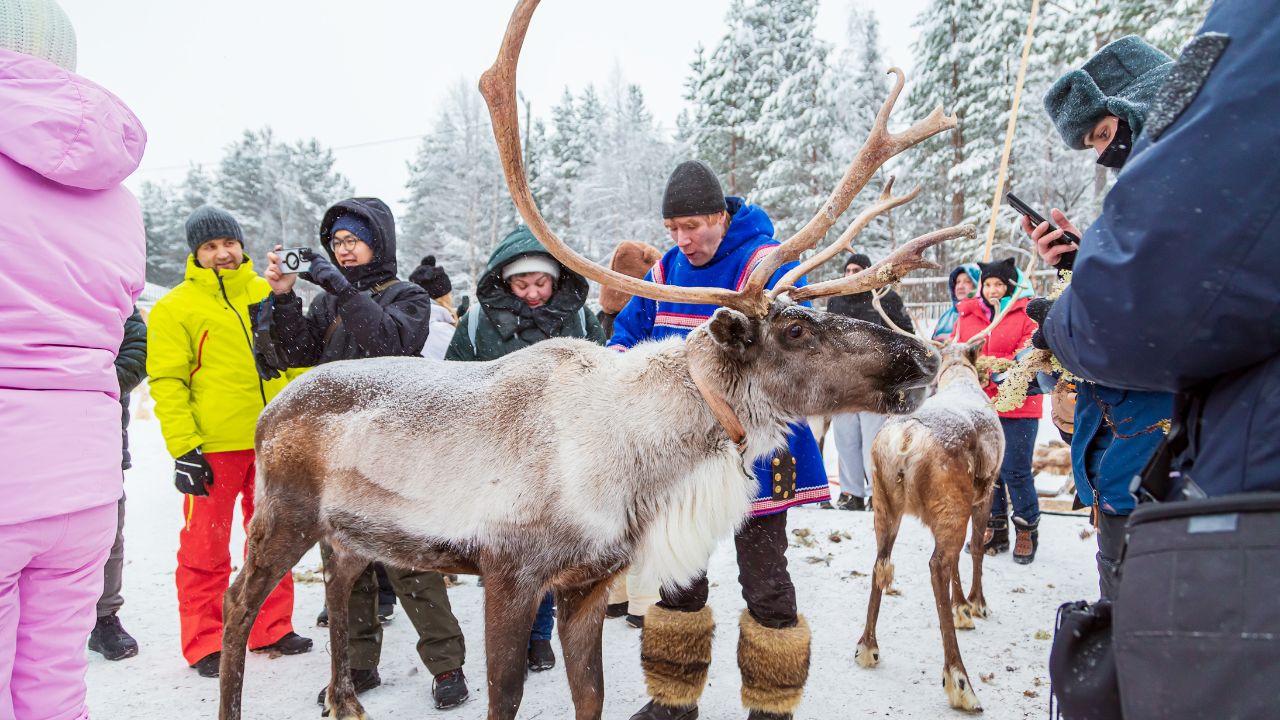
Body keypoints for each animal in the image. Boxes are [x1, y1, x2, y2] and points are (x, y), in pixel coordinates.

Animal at [216, 2, 973, 719]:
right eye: (792, 330)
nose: (920, 355)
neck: (636, 462)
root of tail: (271, 408)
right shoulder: (509, 573)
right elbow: (505, 697)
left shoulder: (586, 580)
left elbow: (592, 696)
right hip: (281, 514)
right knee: (239, 601)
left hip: (348, 535)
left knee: (341, 585)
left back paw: (344, 698)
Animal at [851, 272, 1032, 713]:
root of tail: (904, 440)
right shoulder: (986, 491)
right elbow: (977, 548)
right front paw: (974, 605)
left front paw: (962, 605)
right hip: (950, 501)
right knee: (936, 565)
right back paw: (960, 681)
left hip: (884, 502)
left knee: (882, 562)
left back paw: (867, 646)